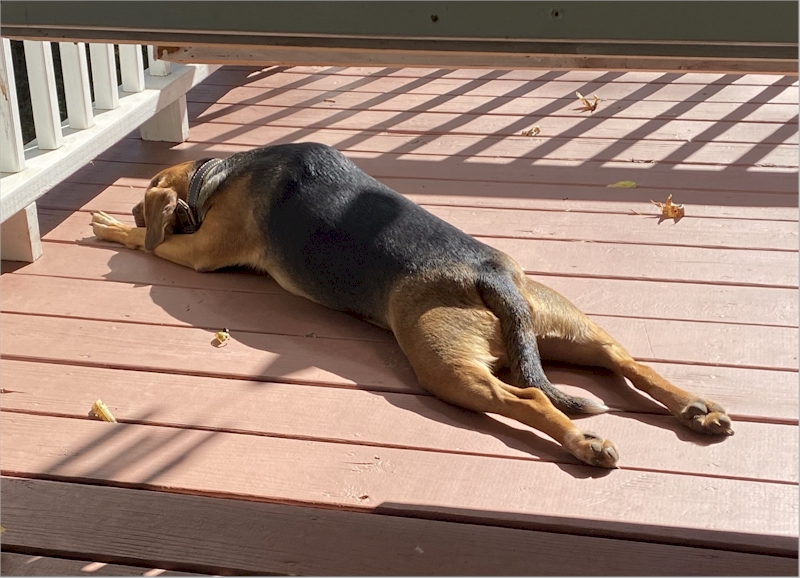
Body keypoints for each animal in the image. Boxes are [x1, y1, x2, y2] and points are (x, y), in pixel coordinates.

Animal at [90, 142, 736, 466]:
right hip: (560, 324)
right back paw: (696, 409)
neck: (219, 170)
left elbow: (152, 244)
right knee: (625, 360)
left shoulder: (201, 252)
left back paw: (584, 444)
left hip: (447, 368)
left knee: (529, 397)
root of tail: (487, 273)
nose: (130, 213)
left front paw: (112, 228)